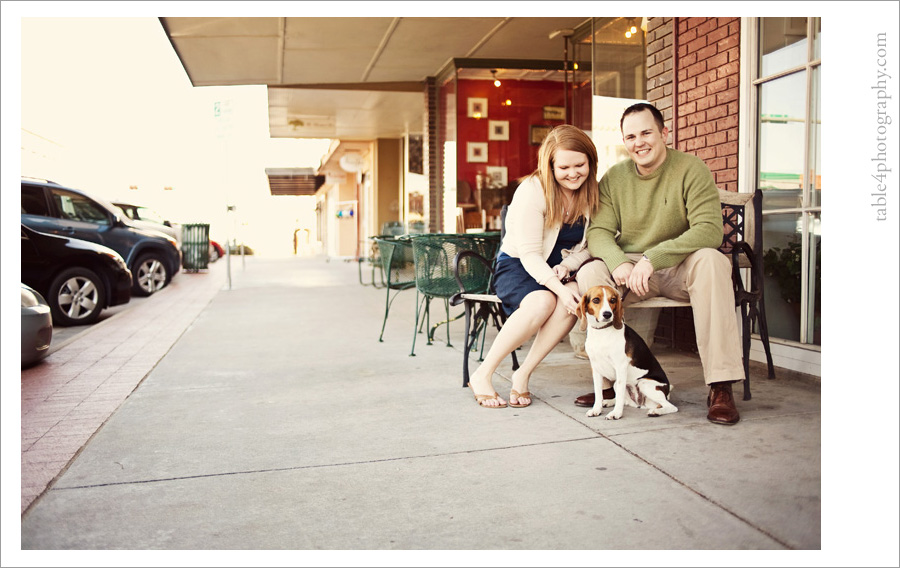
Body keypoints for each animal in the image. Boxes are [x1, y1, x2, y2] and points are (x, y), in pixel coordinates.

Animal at [576, 286, 676, 420]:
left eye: (613, 300)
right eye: (596, 300)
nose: (607, 314)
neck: (602, 332)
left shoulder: (620, 367)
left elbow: (618, 396)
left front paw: (616, 413)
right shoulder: (596, 368)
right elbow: (598, 392)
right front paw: (597, 409)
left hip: (645, 383)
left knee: (671, 407)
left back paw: (656, 412)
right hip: (619, 385)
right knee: (624, 400)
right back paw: (608, 402)